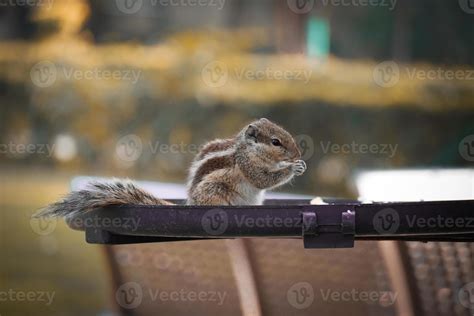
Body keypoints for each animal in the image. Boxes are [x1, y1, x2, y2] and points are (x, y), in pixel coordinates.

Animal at [39, 117, 308, 218]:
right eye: (276, 142)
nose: (298, 154)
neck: (248, 149)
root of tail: (191, 203)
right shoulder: (246, 164)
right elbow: (262, 179)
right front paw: (292, 168)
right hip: (215, 192)